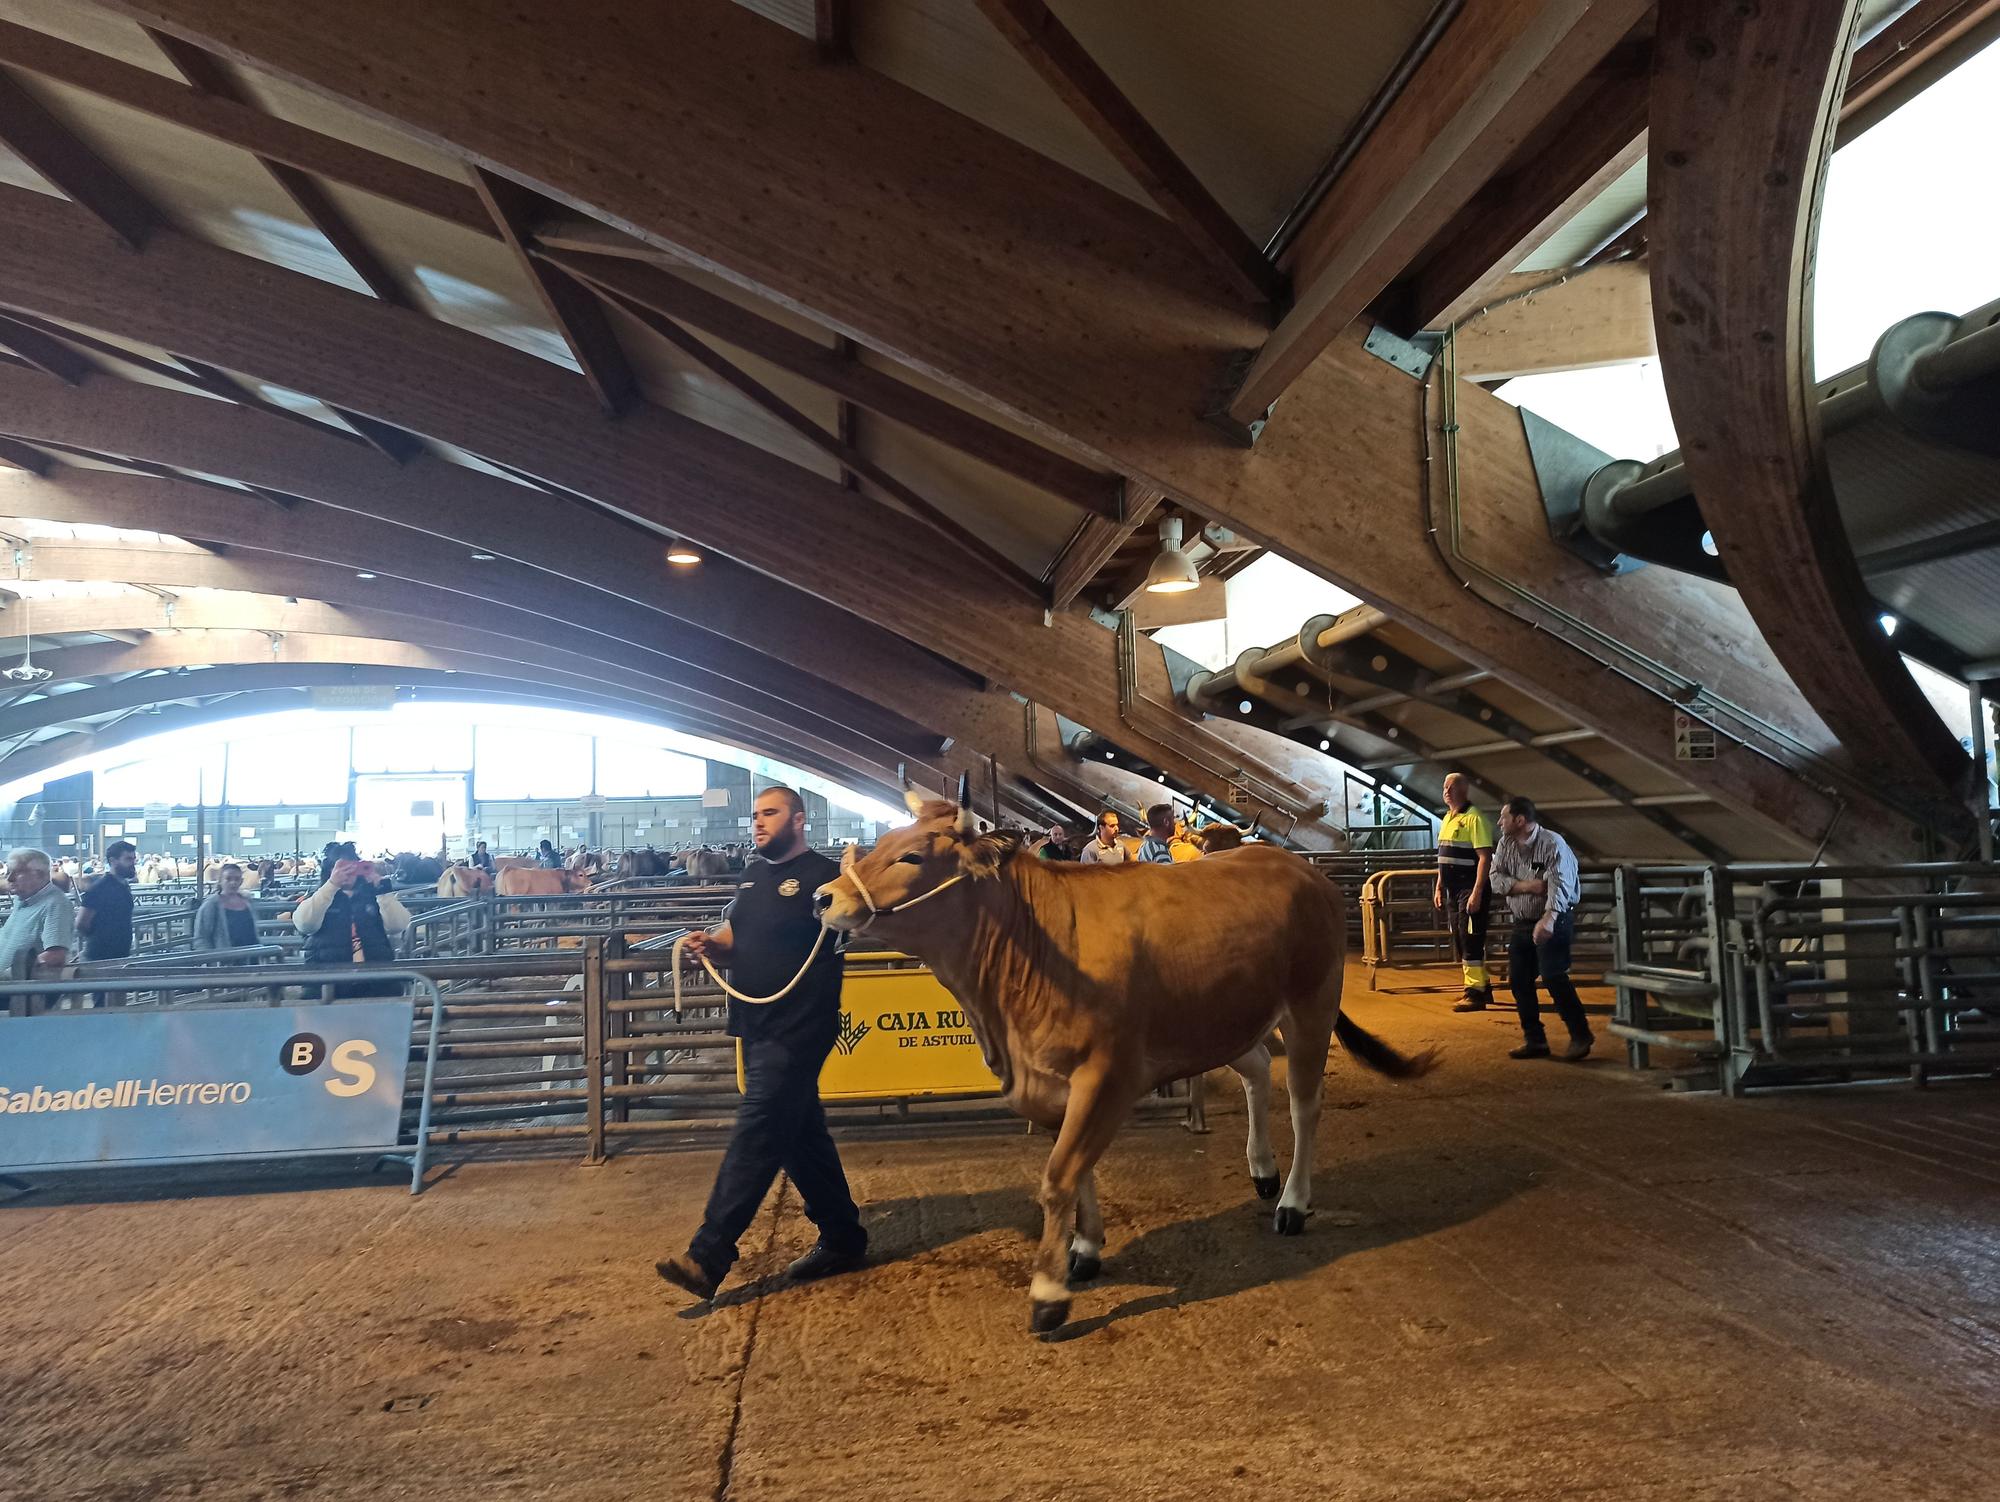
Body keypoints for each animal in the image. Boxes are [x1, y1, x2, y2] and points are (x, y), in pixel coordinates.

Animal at [816, 792, 1440, 1336]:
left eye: (913, 856)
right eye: (881, 842)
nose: (825, 897)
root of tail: (1293, 864)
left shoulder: (1106, 1075)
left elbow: (1059, 1177)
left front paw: (1048, 1295)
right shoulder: (1052, 1082)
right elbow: (1077, 1169)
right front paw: (1084, 1250)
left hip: (1311, 1004)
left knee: (1305, 1105)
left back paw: (1291, 1202)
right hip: (1224, 1018)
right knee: (1260, 1070)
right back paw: (1262, 1170)